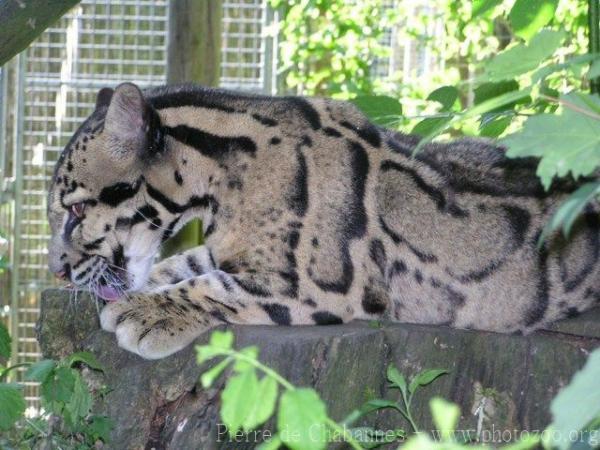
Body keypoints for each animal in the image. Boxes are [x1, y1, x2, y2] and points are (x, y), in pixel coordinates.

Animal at [48, 82, 600, 360]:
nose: (56, 269)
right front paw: (151, 287)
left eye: (75, 209)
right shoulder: (227, 248)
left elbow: (214, 286)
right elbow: (187, 264)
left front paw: (147, 311)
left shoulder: (321, 283)